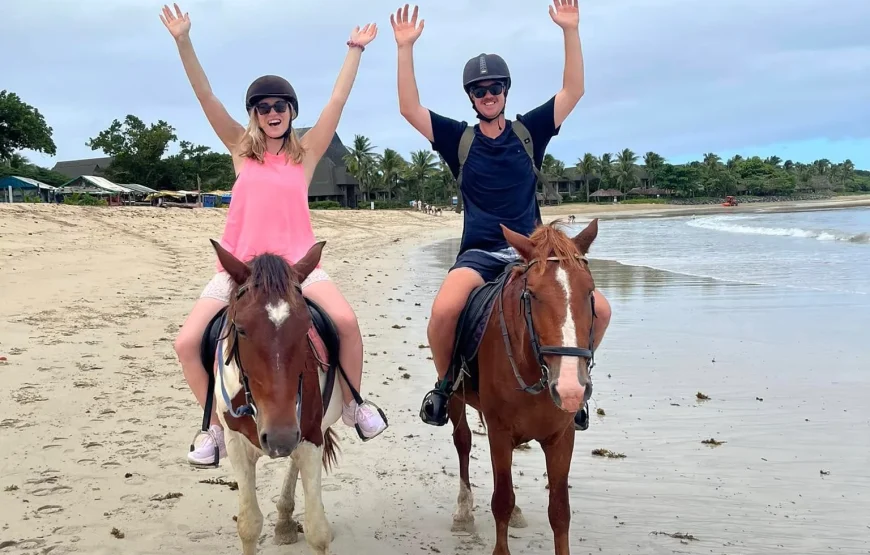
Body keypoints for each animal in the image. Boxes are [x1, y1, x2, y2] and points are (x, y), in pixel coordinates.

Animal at [204, 239, 347, 555]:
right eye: (241, 329)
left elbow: (317, 530)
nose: (281, 437)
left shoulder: (309, 436)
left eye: (306, 327)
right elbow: (249, 525)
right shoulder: (236, 444)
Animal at [443, 219, 600, 555]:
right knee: (463, 442)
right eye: (533, 295)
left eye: (590, 292)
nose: (570, 389)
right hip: (455, 398)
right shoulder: (500, 434)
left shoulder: (561, 437)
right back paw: (463, 510)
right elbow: (501, 500)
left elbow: (560, 511)